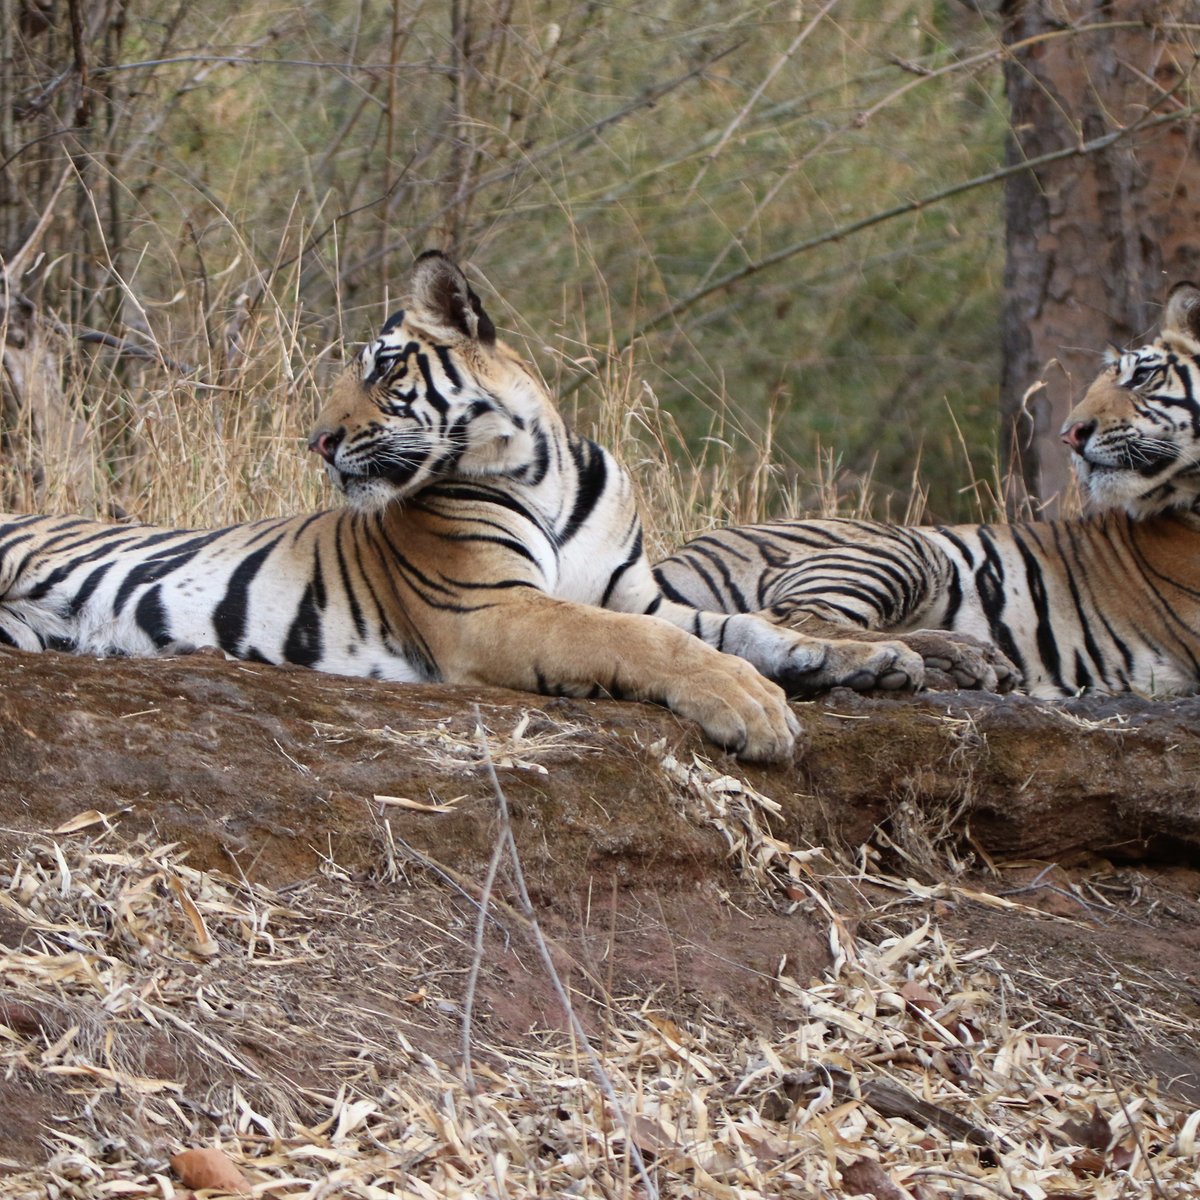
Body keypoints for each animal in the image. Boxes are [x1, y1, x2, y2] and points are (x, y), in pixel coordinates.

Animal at [0, 250, 955, 768]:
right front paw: (751, 706)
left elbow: (740, 624)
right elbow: (649, 645)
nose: (316, 441)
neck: (545, 472)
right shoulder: (491, 606)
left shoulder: (639, 592)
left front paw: (865, 660)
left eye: (384, 368)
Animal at [652, 282, 1200, 700]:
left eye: (1143, 376)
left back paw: (971, 662)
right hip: (906, 548)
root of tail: (680, 554)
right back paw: (921, 659)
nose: (1071, 434)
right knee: (784, 617)